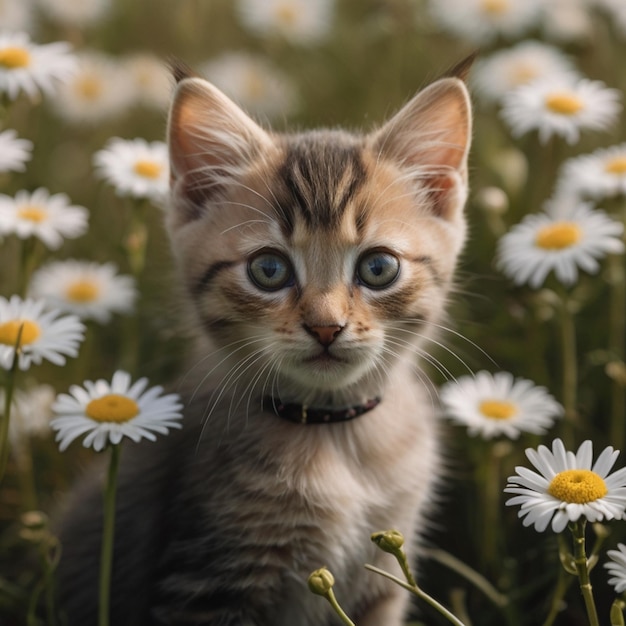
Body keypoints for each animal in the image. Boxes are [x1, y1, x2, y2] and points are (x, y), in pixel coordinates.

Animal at [56, 59, 470, 624]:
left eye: (378, 268)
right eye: (269, 270)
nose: (326, 326)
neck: (333, 435)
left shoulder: (381, 585)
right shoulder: (207, 583)